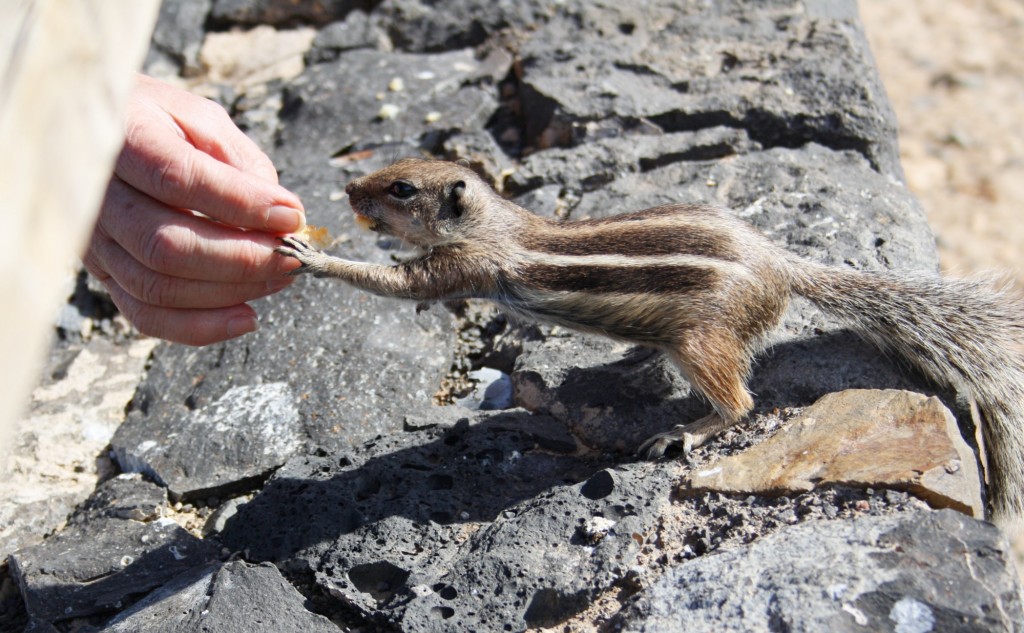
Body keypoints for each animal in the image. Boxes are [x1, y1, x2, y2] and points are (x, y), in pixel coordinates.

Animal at [276, 158, 1024, 528]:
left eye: (402, 188)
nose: (348, 187)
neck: (496, 221)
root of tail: (783, 266)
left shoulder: (462, 267)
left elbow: (394, 282)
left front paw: (314, 258)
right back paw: (634, 362)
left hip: (703, 339)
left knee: (741, 402)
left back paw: (682, 432)